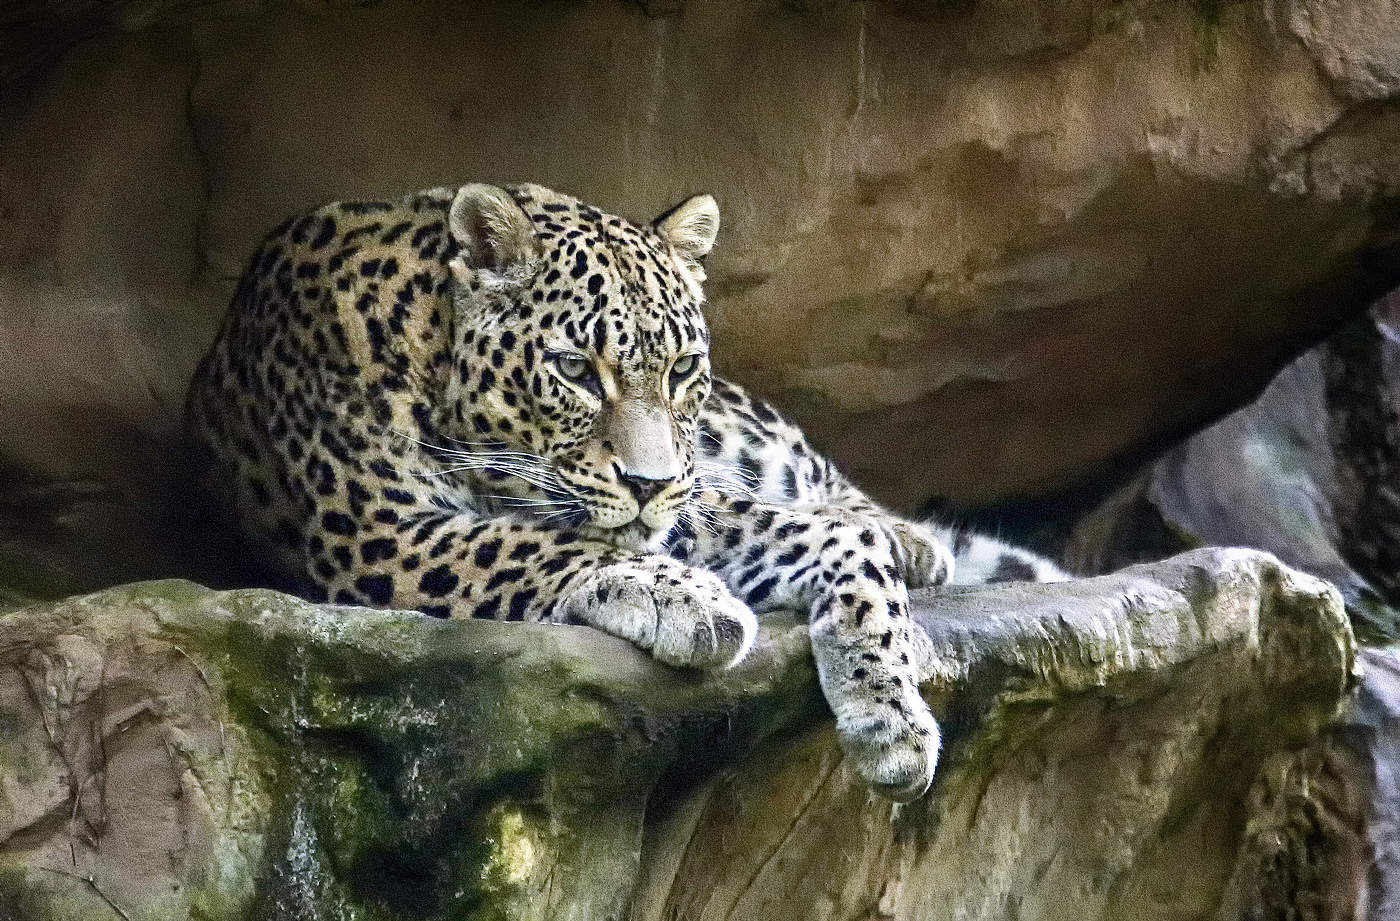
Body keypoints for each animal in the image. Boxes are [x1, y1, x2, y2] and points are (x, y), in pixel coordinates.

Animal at [186, 182, 1065, 801]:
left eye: (679, 370)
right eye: (576, 369)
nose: (648, 482)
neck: (429, 345)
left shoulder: (688, 499)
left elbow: (821, 535)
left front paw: (888, 704)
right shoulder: (382, 533)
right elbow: (528, 541)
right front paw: (688, 598)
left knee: (827, 484)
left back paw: (915, 549)